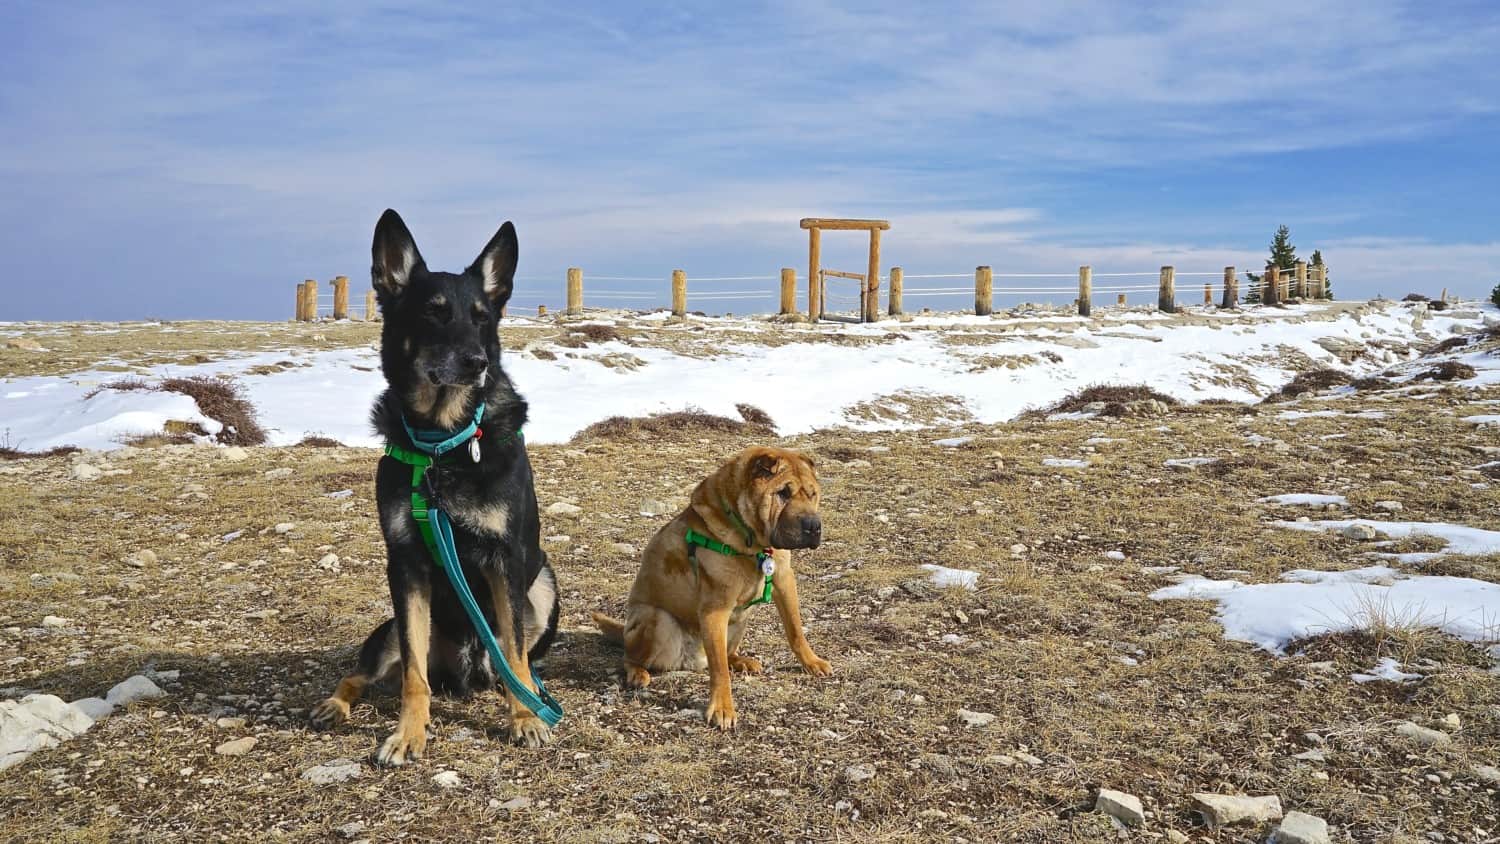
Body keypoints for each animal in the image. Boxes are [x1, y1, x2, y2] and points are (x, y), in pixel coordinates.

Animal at [591, 446, 834, 728]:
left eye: (812, 494)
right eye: (783, 493)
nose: (813, 526)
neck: (750, 540)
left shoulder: (784, 579)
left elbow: (795, 630)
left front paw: (812, 662)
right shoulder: (715, 610)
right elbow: (719, 671)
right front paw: (722, 708)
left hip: (741, 618)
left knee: (725, 653)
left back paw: (741, 661)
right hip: (656, 620)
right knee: (631, 656)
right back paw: (637, 673)